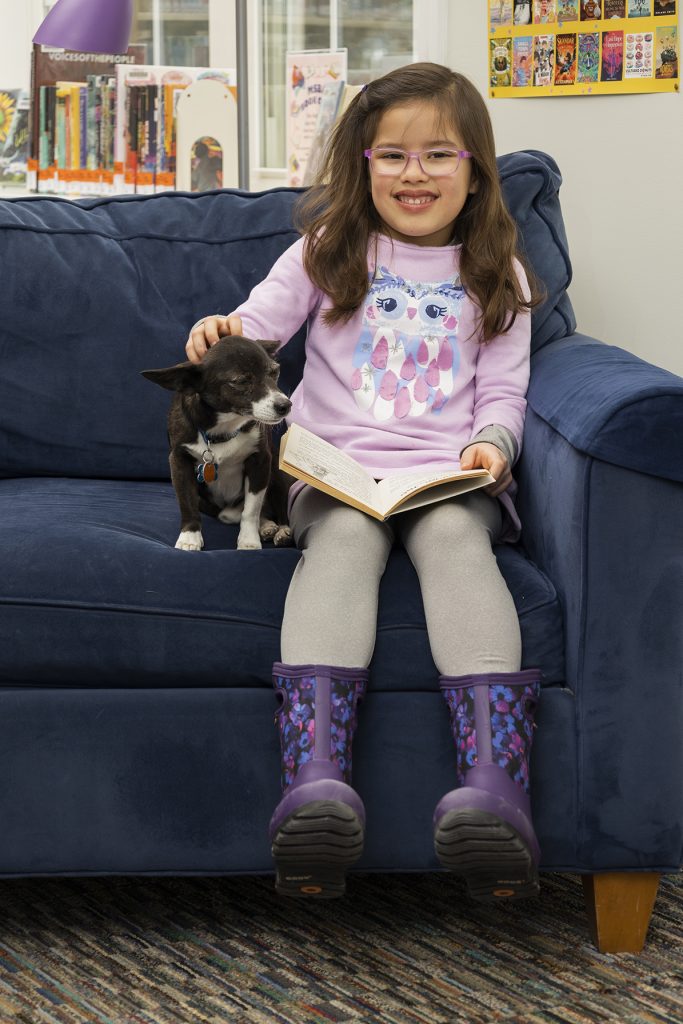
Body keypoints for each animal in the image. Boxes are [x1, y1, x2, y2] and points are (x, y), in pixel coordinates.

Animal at [143, 337, 292, 552]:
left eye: (274, 372)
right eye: (241, 381)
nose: (285, 405)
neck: (224, 428)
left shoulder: (261, 461)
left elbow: (251, 508)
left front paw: (248, 540)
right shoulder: (179, 461)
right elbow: (187, 503)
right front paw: (190, 536)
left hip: (278, 474)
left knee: (277, 509)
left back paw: (280, 530)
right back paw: (266, 526)